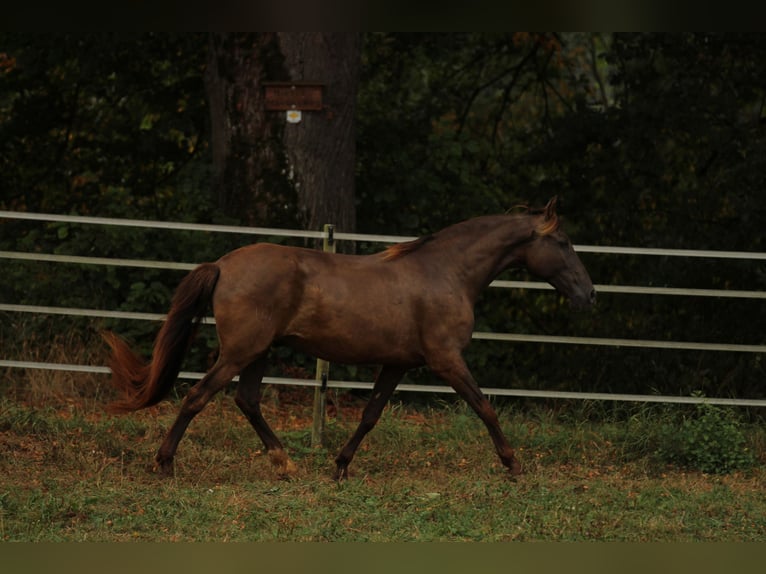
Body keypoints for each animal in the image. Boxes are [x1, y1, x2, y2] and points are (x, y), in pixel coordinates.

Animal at [103, 196, 592, 480]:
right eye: (564, 243)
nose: (588, 293)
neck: (447, 273)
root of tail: (222, 264)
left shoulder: (398, 363)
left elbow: (371, 415)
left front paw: (339, 466)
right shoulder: (446, 360)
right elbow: (485, 407)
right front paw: (513, 465)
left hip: (258, 352)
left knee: (246, 401)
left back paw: (285, 462)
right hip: (240, 351)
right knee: (197, 397)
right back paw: (166, 464)